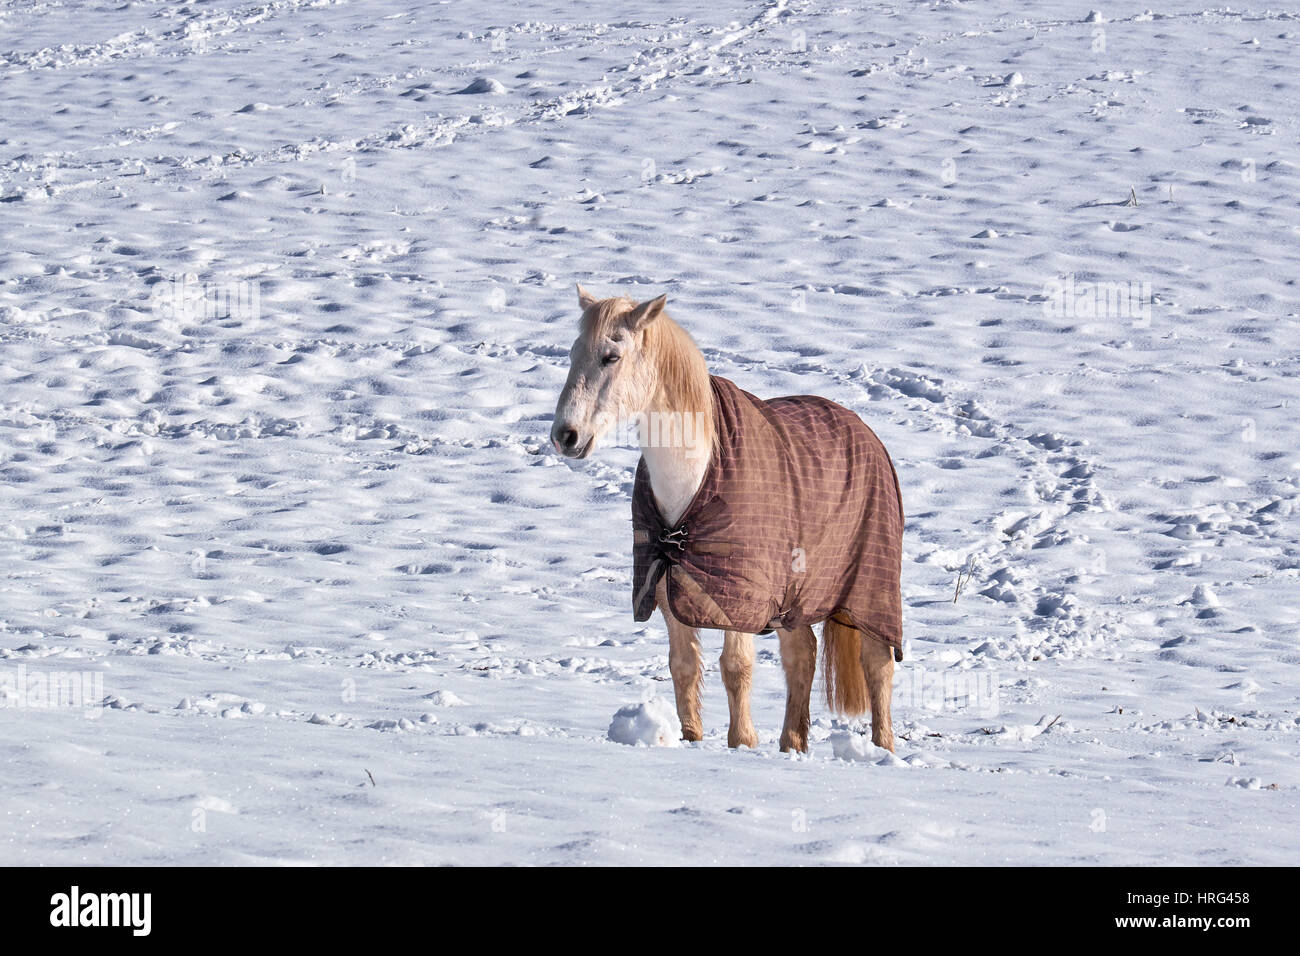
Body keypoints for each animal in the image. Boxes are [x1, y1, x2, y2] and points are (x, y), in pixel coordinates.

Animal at [548, 286, 904, 754]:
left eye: (611, 356)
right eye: (573, 352)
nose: (565, 436)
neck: (697, 481)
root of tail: (866, 433)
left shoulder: (740, 598)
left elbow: (735, 666)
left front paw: (742, 743)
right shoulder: (669, 586)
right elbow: (683, 666)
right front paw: (692, 739)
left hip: (869, 591)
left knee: (877, 664)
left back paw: (882, 751)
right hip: (794, 598)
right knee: (802, 655)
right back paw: (792, 745)